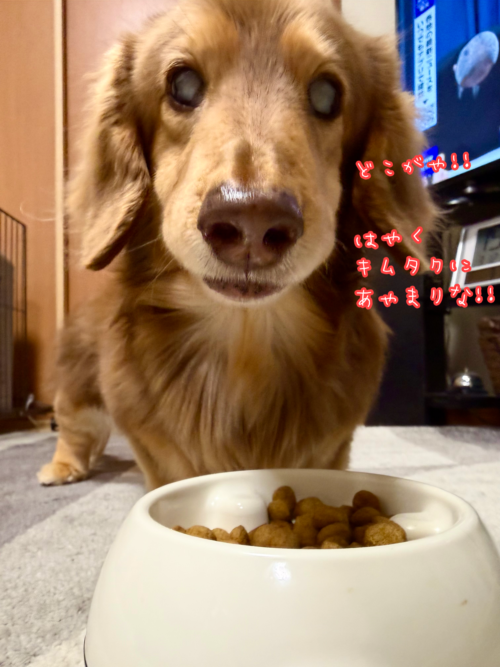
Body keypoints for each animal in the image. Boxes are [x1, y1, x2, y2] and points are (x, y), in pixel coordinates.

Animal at [38, 0, 436, 490]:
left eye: (327, 94)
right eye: (183, 84)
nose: (252, 221)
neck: (244, 344)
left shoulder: (331, 449)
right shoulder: (153, 450)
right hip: (79, 386)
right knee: (76, 427)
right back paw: (62, 466)